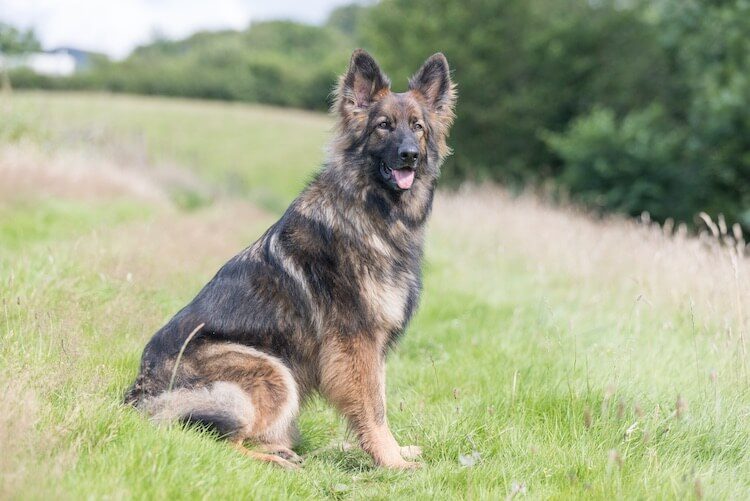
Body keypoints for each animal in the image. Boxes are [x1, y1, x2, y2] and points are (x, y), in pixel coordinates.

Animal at [123, 50, 458, 468]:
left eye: (418, 127)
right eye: (384, 126)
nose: (409, 155)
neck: (371, 210)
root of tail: (138, 394)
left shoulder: (372, 346)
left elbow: (378, 399)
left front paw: (395, 452)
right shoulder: (357, 342)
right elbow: (373, 407)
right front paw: (391, 461)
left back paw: (284, 449)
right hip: (271, 370)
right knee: (218, 441)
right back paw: (278, 460)